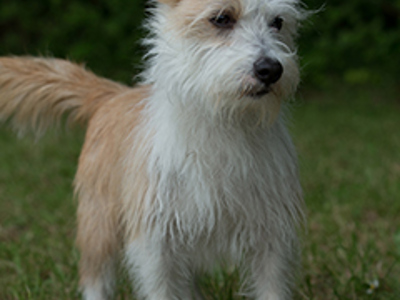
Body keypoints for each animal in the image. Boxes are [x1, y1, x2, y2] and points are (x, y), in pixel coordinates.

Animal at [0, 0, 306, 298]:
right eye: (221, 19)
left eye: (278, 22)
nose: (271, 70)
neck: (224, 121)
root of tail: (113, 95)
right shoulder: (156, 246)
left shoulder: (272, 238)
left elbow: (272, 289)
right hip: (99, 224)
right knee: (95, 279)